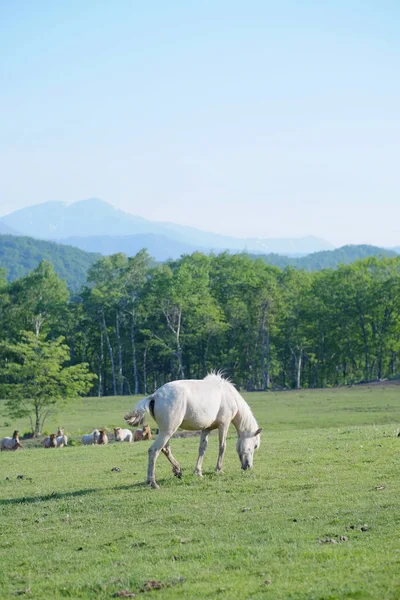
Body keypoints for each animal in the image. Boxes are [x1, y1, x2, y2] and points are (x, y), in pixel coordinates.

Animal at [125, 372, 262, 490]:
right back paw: (152, 482)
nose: (248, 467)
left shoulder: (206, 429)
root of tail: (155, 395)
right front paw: (219, 469)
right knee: (154, 451)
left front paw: (198, 472)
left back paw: (178, 470)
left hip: (166, 431)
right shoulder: (224, 424)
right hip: (168, 431)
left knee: (166, 449)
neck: (229, 395)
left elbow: (202, 448)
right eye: (255, 446)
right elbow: (222, 446)